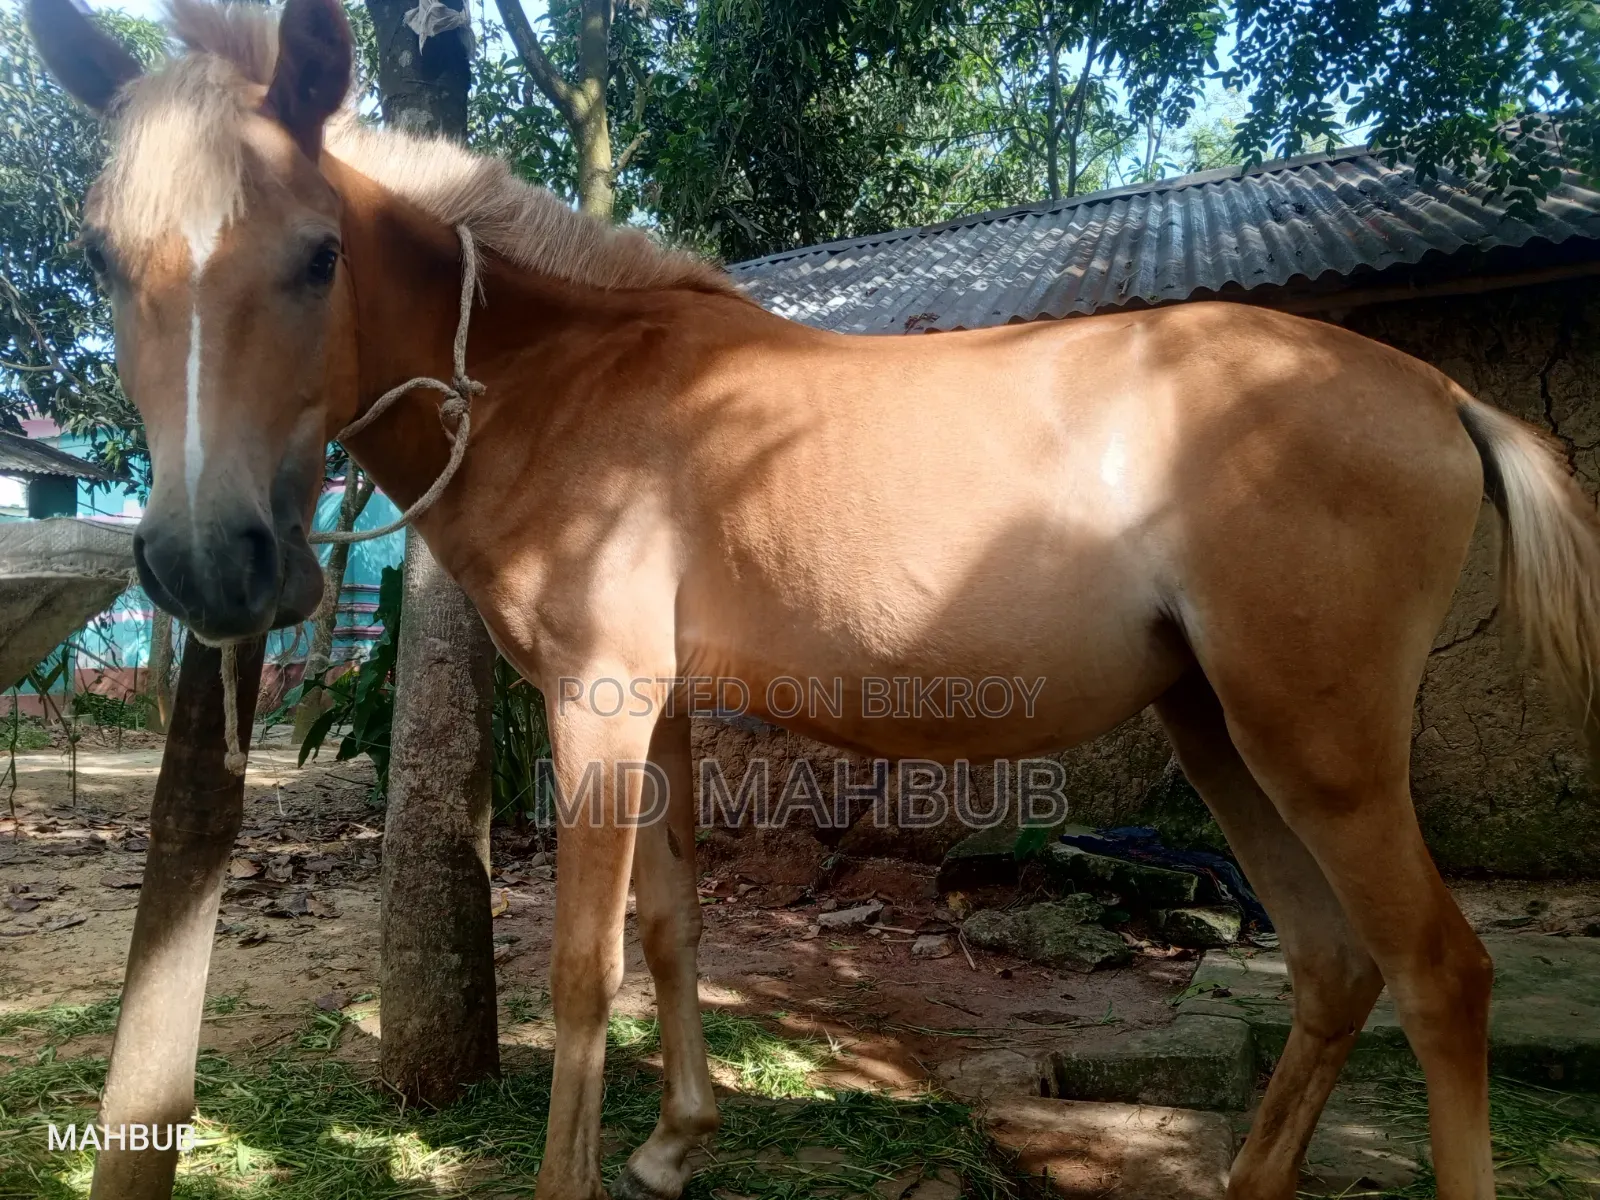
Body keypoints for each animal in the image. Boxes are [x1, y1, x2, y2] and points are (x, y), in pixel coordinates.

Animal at [27, 0, 1600, 1196]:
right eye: (99, 257)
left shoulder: (597, 707)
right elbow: (673, 927)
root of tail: (1437, 393)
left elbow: (583, 970)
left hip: (1319, 745)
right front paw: (677, 1145)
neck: (553, 380)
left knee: (1441, 977)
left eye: (318, 254)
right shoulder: (653, 713)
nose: (206, 562)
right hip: (1221, 730)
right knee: (1334, 970)